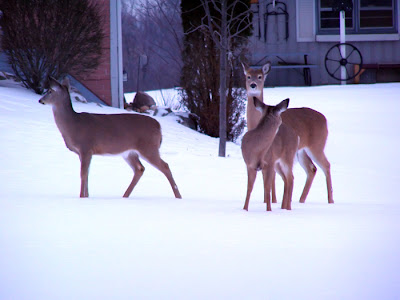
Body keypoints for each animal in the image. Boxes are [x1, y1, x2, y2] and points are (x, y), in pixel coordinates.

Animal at [37, 77, 181, 199]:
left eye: (50, 91)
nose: (40, 100)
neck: (73, 125)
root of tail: (159, 126)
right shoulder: (82, 152)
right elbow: (87, 174)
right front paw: (87, 196)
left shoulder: (86, 148)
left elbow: (83, 174)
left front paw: (82, 197)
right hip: (130, 152)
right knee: (140, 169)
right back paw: (124, 196)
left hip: (148, 147)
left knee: (165, 166)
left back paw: (178, 197)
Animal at [242, 62, 332, 205]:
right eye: (248, 76)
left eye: (260, 76)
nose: (253, 85)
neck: (256, 123)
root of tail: (325, 119)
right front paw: (267, 200)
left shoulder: (272, 155)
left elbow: (272, 178)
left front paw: (273, 200)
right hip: (301, 151)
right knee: (311, 169)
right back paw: (300, 200)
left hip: (317, 145)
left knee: (326, 165)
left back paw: (330, 200)